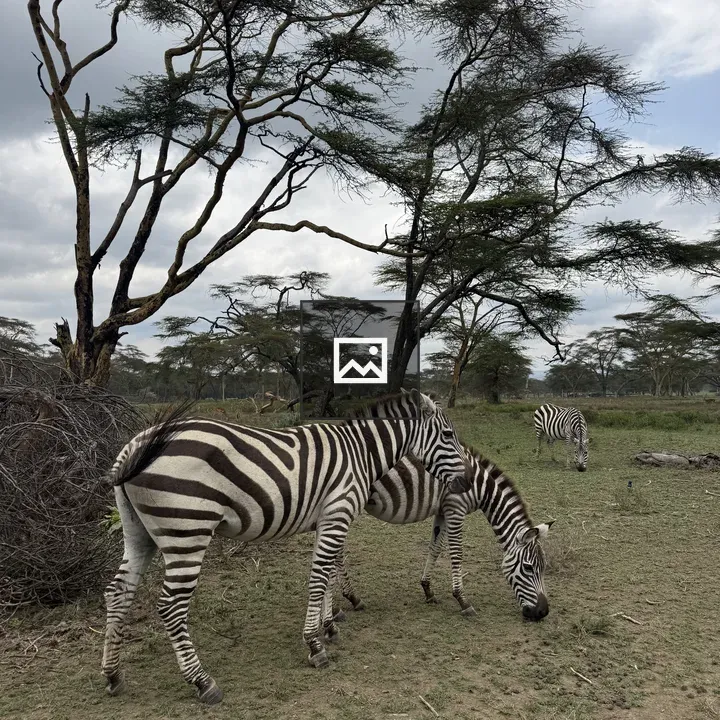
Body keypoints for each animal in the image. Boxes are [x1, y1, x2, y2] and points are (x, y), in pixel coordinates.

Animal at [101, 389, 469, 704]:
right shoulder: (337, 514)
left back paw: (113, 675)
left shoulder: (326, 520)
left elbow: (328, 574)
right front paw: (315, 644)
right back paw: (202, 681)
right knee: (171, 606)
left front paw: (328, 626)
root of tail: (135, 445)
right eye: (448, 435)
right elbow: (319, 578)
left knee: (118, 593)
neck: (360, 452)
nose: (466, 482)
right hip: (187, 530)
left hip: (138, 532)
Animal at [331, 447, 553, 622]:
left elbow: (435, 547)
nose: (542, 612)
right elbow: (456, 553)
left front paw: (427, 589)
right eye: (528, 567)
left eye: (543, 568)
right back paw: (348, 600)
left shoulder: (443, 510)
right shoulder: (456, 508)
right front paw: (462, 600)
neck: (480, 486)